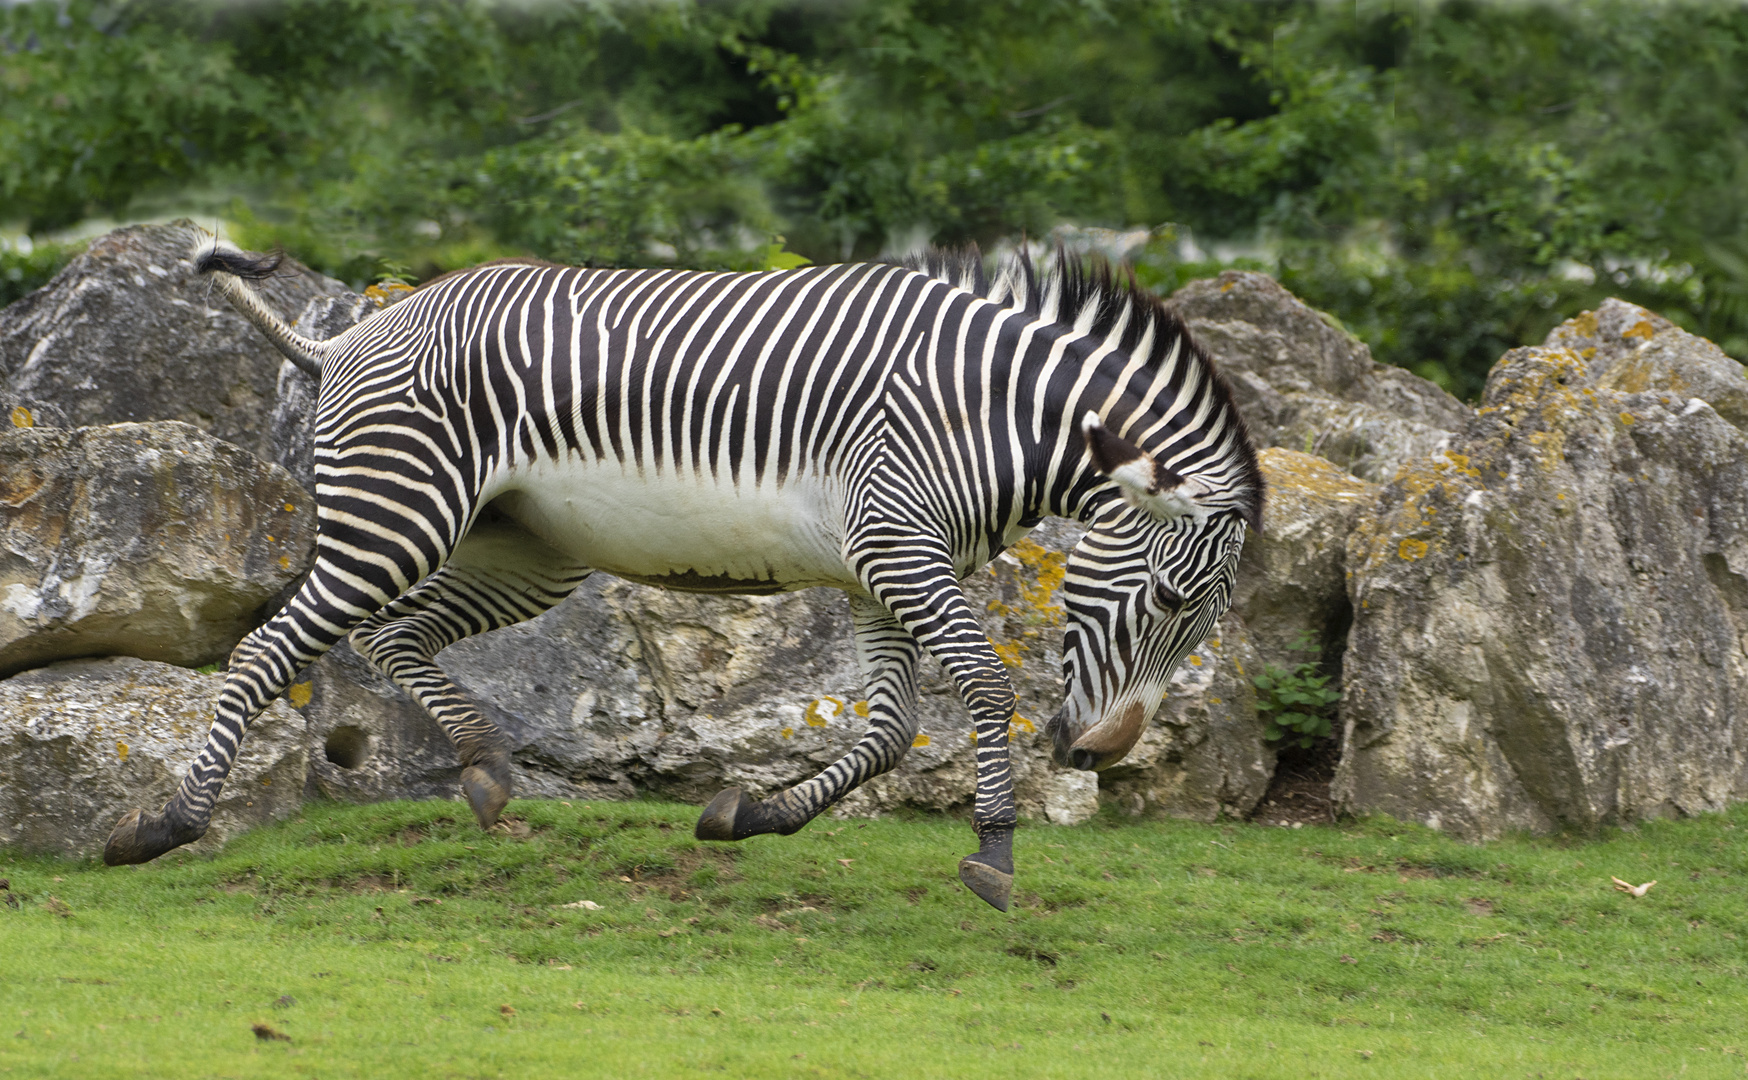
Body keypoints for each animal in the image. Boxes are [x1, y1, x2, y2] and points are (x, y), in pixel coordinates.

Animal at [102, 237, 1258, 908]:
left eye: (1200, 628)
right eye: (1163, 601)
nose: (1100, 755)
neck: (992, 411)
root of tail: (348, 339)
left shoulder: (878, 570)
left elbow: (888, 734)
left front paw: (748, 815)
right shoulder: (896, 548)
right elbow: (982, 683)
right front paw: (995, 853)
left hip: (522, 547)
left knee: (393, 635)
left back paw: (483, 766)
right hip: (398, 514)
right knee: (265, 652)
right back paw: (166, 826)